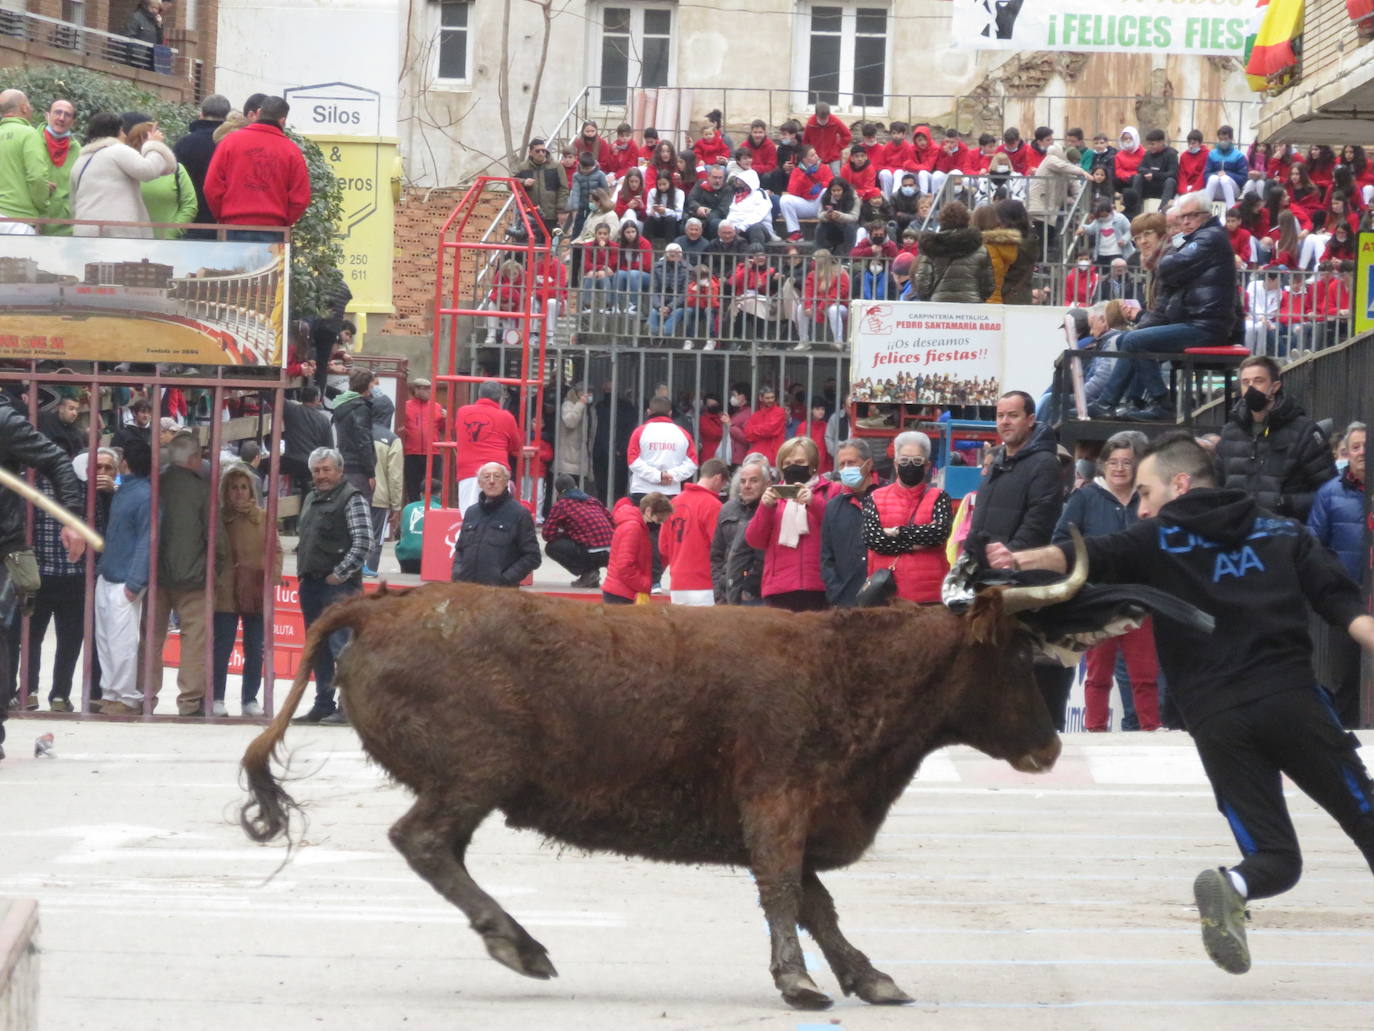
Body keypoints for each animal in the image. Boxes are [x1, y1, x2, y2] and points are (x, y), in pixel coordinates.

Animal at [239, 541, 1082, 1011]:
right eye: (1016, 654)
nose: (1050, 748)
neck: (846, 666)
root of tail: (385, 608)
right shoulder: (777, 801)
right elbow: (787, 893)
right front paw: (799, 982)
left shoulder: (788, 814)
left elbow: (818, 902)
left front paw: (869, 977)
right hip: (477, 774)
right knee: (422, 839)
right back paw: (518, 943)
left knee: (435, 845)